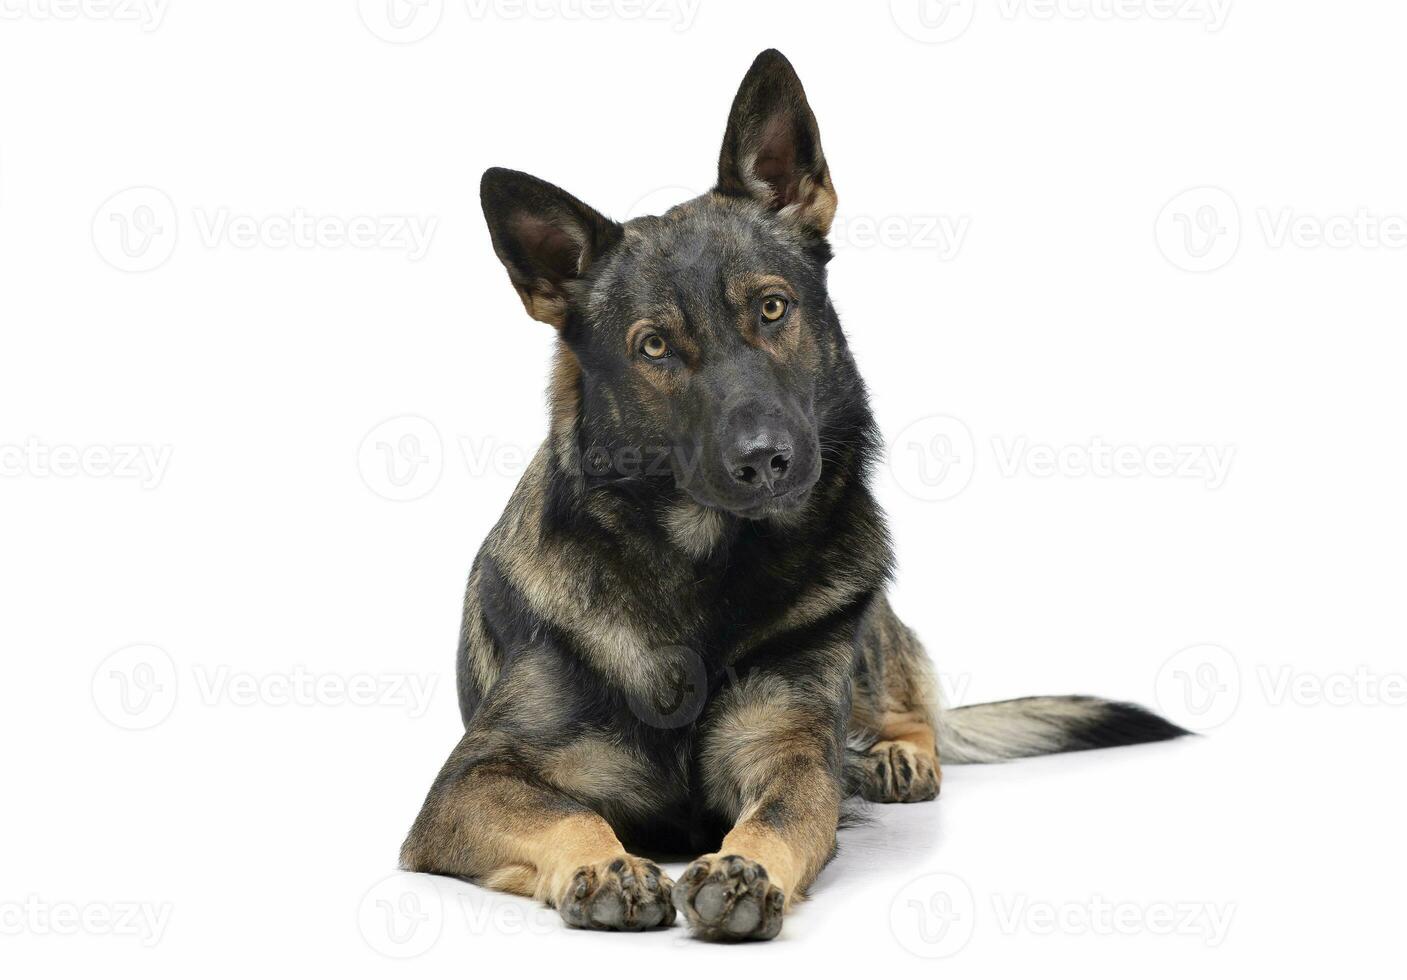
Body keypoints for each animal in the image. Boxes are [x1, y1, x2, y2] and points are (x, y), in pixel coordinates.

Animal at [399, 47, 1187, 939]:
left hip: (866, 636)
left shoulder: (789, 758)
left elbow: (778, 815)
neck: (701, 569)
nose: (766, 461)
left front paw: (743, 871)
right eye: (655, 347)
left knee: (908, 703)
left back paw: (896, 754)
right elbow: (570, 813)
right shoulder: (473, 779)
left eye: (772, 307)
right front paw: (605, 865)